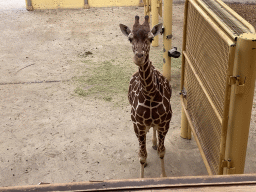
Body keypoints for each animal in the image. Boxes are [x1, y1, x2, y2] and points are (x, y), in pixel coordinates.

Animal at [119, 15, 172, 178]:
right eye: (130, 38)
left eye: (150, 38)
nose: (139, 58)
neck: (150, 96)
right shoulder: (138, 126)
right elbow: (142, 156)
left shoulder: (164, 123)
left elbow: (162, 152)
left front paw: (164, 176)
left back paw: (154, 143)